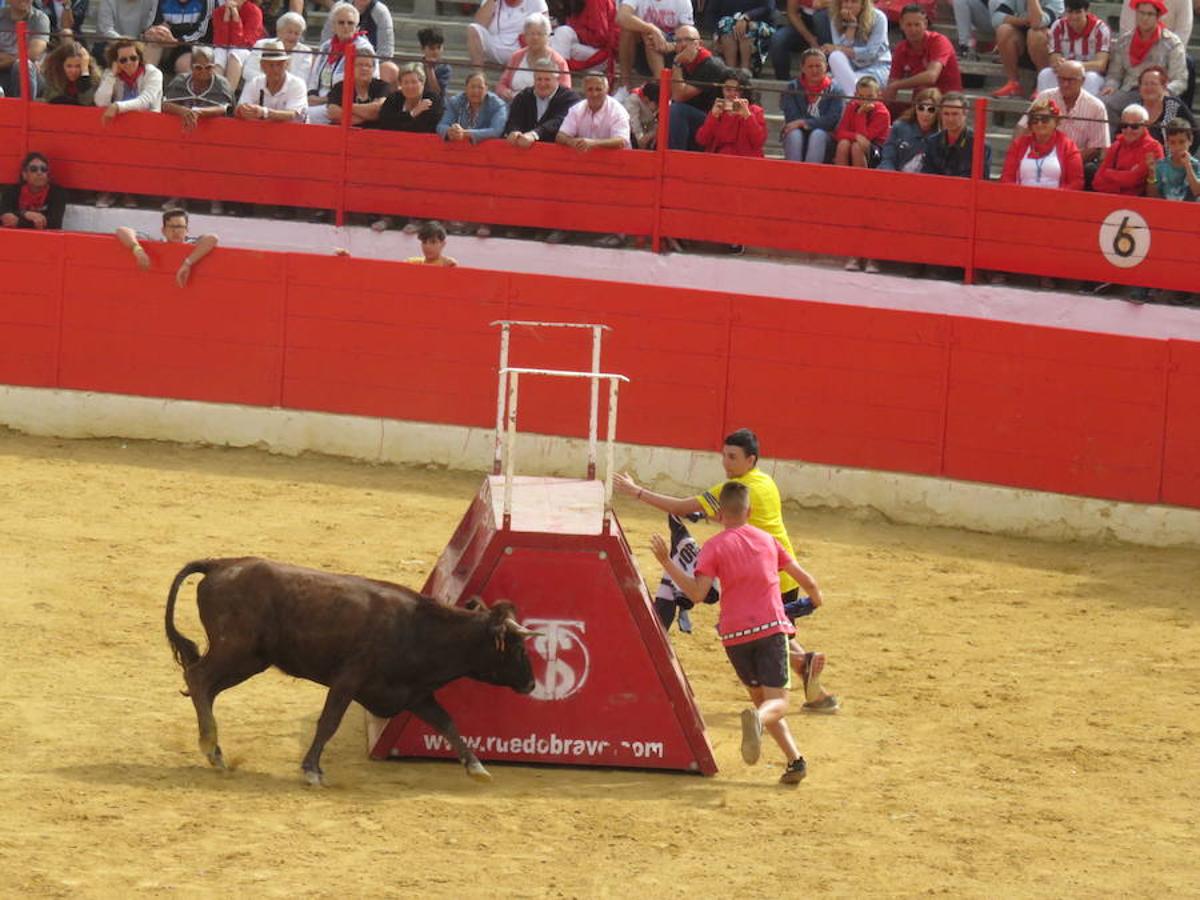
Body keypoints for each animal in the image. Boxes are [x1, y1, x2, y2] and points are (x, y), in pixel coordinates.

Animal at [164, 561, 540, 787]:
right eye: (519, 648)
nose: (532, 683)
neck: (418, 629)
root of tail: (222, 564)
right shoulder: (348, 681)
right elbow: (328, 722)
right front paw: (312, 770)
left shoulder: (414, 694)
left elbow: (447, 722)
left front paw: (477, 767)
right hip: (237, 651)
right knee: (198, 679)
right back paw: (211, 746)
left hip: (249, 660)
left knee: (206, 689)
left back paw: (216, 750)